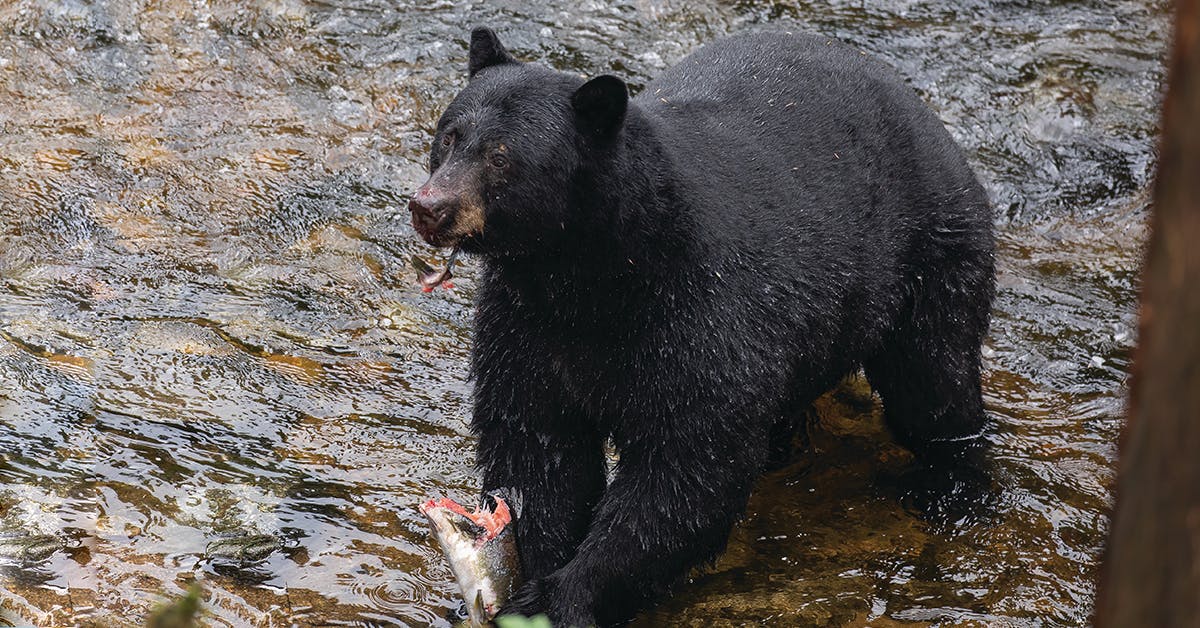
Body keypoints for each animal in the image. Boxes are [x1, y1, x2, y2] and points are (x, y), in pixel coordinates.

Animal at [410, 27, 993, 624]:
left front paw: (563, 595)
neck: (589, 278)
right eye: (449, 136)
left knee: (936, 383)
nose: (429, 206)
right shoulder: (523, 322)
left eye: (502, 157)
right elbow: (537, 440)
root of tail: (919, 107)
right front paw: (534, 568)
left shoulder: (699, 313)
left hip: (931, 255)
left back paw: (951, 487)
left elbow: (688, 465)